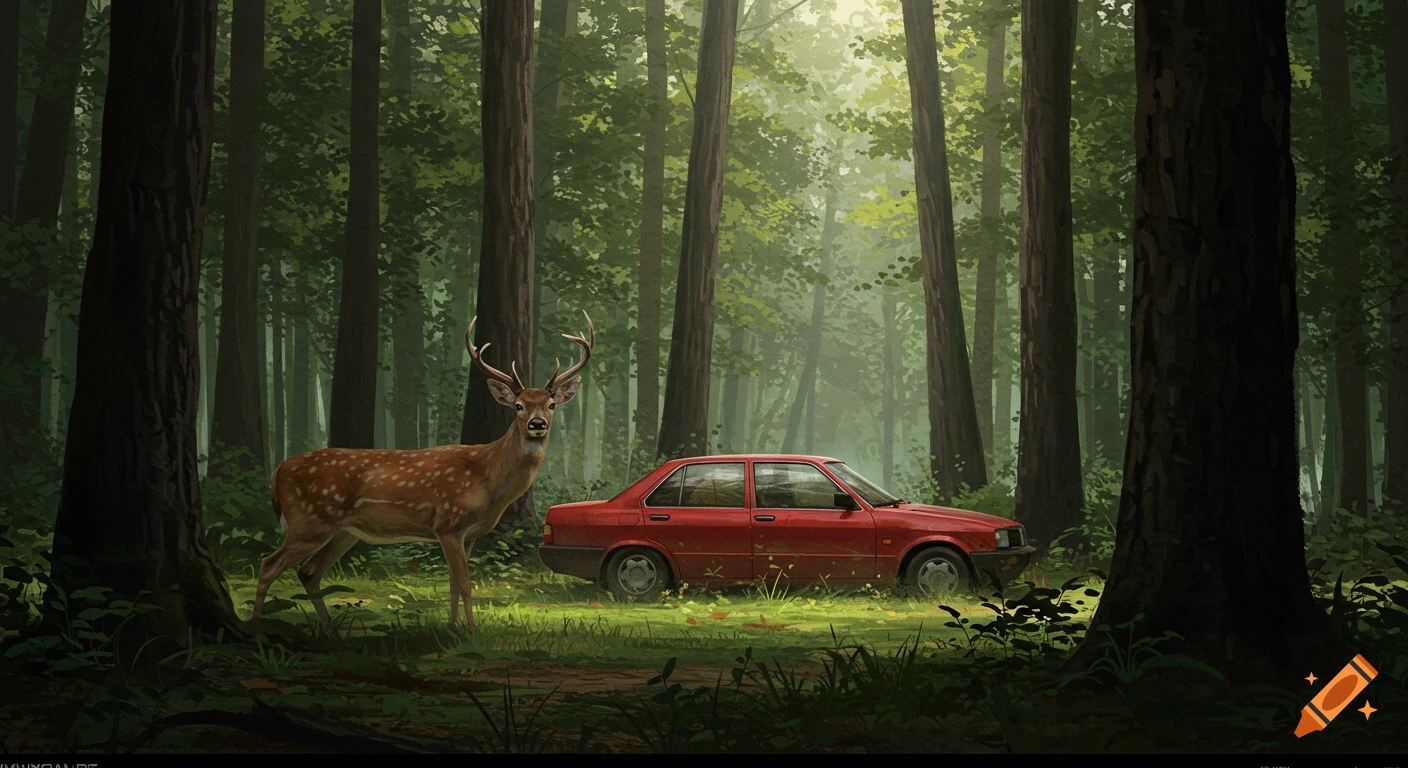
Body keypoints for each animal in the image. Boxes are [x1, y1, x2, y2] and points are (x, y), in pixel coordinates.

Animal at [248, 312, 594, 632]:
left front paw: (453, 627)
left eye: (551, 404)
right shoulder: (448, 523)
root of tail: (277, 471)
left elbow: (454, 583)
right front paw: (471, 630)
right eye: (519, 406)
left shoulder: (468, 534)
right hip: (309, 520)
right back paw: (255, 625)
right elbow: (464, 583)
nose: (537, 424)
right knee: (268, 564)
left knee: (308, 572)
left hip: (343, 532)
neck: (487, 479)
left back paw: (330, 628)